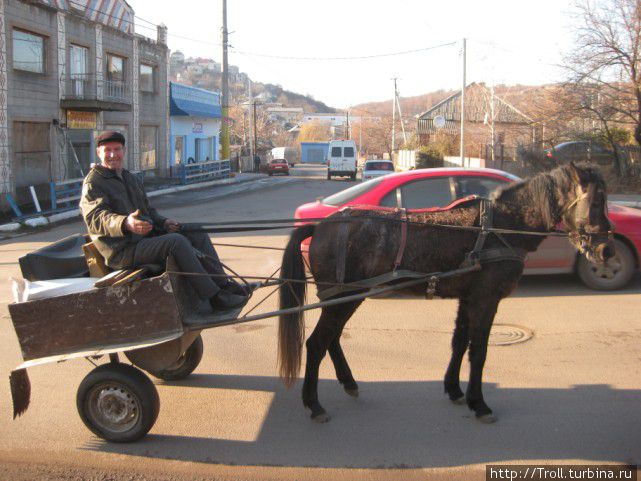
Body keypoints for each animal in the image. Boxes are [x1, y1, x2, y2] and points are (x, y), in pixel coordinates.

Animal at [278, 163, 612, 422]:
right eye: (597, 202)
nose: (606, 250)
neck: (501, 226)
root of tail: (322, 224)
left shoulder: (468, 298)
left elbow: (459, 343)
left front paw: (455, 389)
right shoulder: (486, 299)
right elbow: (478, 351)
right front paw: (480, 403)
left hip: (348, 297)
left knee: (331, 339)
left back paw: (348, 383)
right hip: (343, 297)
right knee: (316, 344)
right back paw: (314, 404)